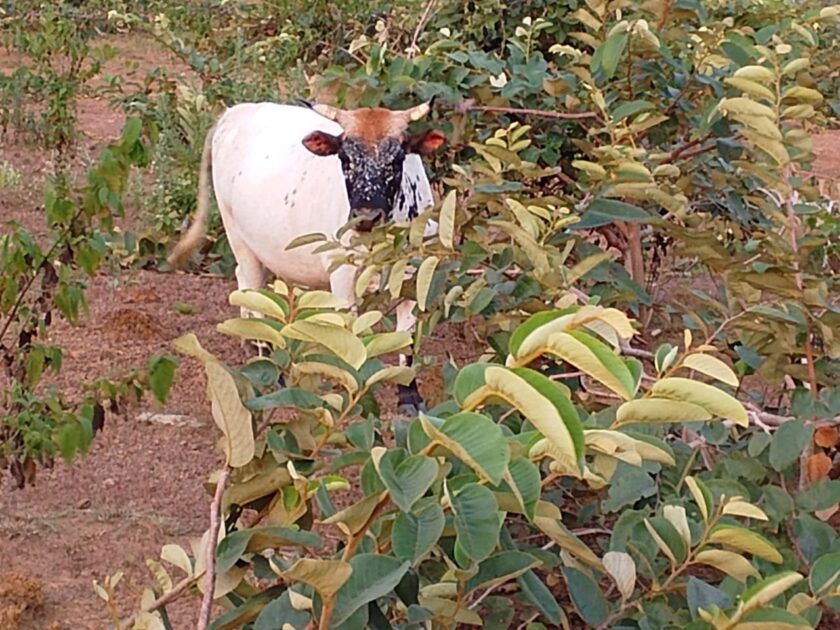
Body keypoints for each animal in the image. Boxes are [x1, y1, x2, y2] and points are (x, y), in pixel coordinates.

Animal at [167, 101, 445, 412]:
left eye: (396, 160)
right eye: (344, 159)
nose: (365, 216)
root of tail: (235, 111)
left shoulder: (414, 277)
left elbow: (406, 340)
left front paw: (409, 396)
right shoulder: (342, 278)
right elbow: (351, 336)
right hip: (237, 235)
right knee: (252, 287)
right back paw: (268, 365)